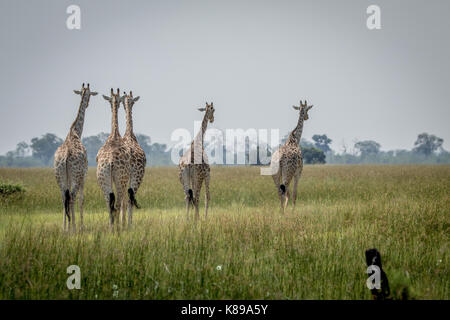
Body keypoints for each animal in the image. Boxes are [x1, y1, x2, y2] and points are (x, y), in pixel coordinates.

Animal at [54, 82, 97, 231]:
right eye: (90, 94)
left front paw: (67, 226)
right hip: (76, 176)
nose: (88, 103)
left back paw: (64, 228)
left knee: (63, 197)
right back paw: (73, 227)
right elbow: (81, 199)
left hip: (60, 175)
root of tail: (66, 156)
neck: (75, 132)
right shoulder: (84, 175)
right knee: (72, 197)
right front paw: (81, 225)